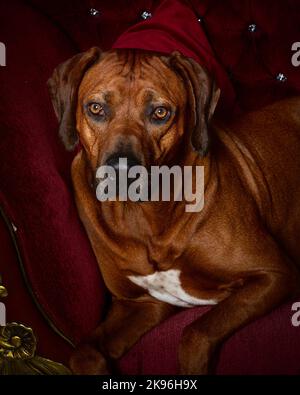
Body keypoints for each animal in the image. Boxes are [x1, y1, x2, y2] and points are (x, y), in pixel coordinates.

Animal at [49, 48, 300, 376]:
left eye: (159, 113)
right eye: (95, 108)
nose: (122, 172)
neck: (142, 218)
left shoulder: (274, 274)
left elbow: (195, 332)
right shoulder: (140, 305)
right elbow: (82, 353)